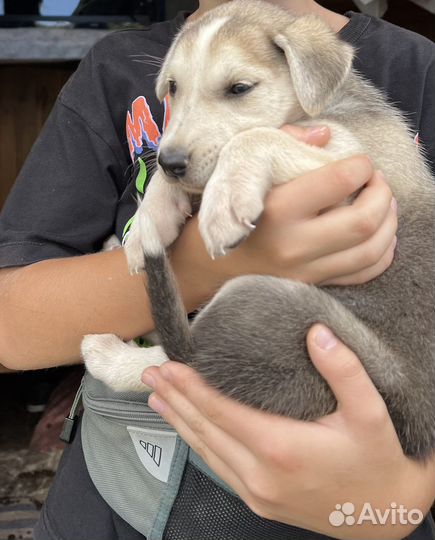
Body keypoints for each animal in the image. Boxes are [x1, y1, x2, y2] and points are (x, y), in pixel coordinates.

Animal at [82, 0, 435, 458]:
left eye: (239, 88)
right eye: (173, 87)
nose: (172, 162)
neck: (320, 106)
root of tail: (415, 424)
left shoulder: (353, 162)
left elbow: (257, 137)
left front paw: (225, 199)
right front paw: (147, 224)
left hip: (263, 302)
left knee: (180, 359)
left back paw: (107, 353)